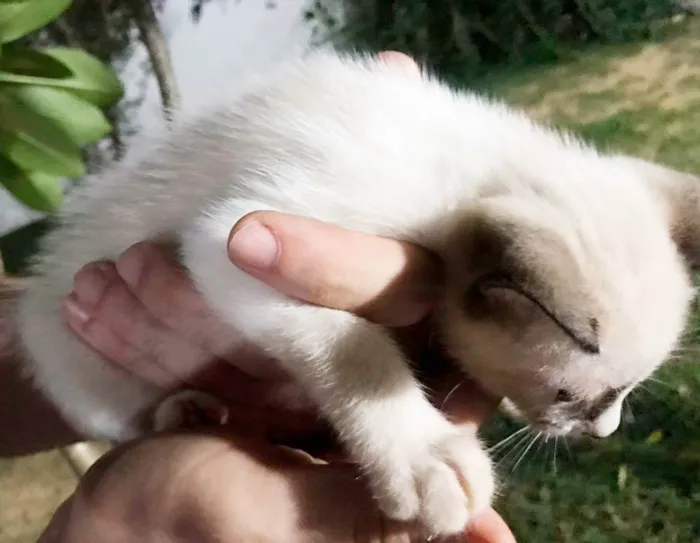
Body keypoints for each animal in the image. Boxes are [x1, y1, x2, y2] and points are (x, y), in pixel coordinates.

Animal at [15, 52, 700, 540]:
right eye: (574, 397)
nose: (606, 430)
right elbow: (350, 342)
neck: (464, 164)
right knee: (122, 420)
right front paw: (422, 456)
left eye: (622, 397)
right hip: (79, 377)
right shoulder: (235, 239)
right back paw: (181, 408)